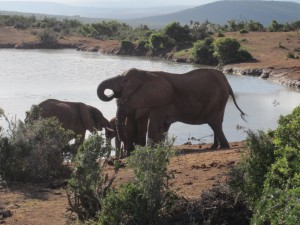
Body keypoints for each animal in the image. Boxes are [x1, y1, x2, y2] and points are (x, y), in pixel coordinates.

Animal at [97, 68, 245, 149]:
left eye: (125, 81)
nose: (113, 94)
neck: (147, 73)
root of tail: (227, 82)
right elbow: (162, 127)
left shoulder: (162, 100)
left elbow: (154, 125)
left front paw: (151, 150)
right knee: (215, 124)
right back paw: (214, 147)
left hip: (218, 100)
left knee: (215, 123)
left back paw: (223, 147)